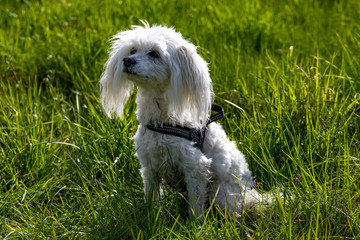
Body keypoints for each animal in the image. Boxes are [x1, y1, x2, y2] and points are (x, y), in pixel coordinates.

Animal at [100, 21, 262, 218]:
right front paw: (150, 216)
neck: (162, 122)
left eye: (155, 54)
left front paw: (195, 223)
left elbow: (196, 203)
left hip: (223, 193)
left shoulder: (195, 167)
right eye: (132, 50)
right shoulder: (149, 166)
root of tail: (250, 193)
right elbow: (151, 195)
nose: (127, 60)